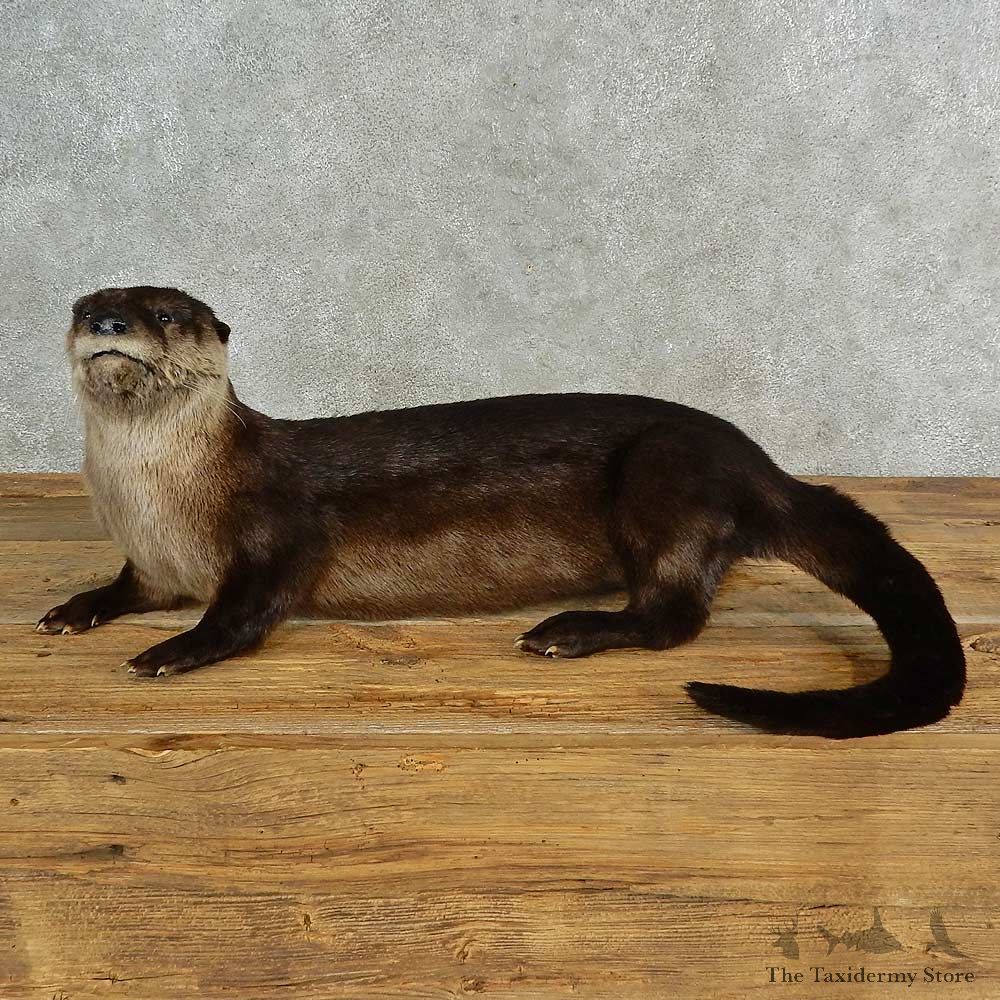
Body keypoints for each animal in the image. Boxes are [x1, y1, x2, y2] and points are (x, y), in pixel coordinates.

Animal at [37, 285, 965, 738]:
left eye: (167, 314)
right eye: (84, 308)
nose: (108, 321)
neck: (160, 505)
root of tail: (761, 464)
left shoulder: (279, 528)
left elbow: (246, 611)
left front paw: (170, 650)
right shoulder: (153, 560)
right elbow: (129, 587)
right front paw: (78, 608)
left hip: (670, 476)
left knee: (675, 613)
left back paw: (569, 631)